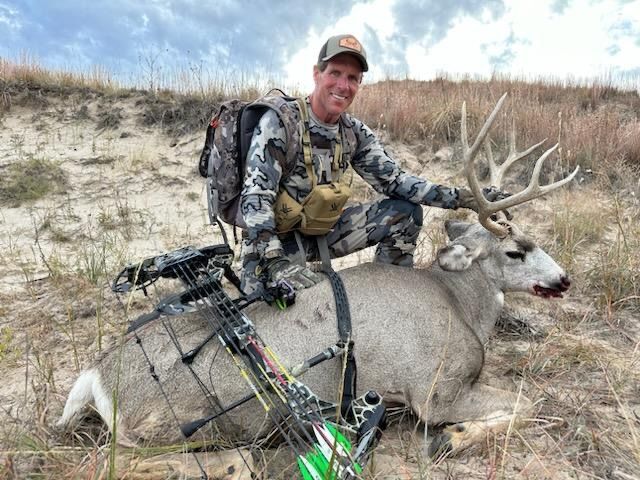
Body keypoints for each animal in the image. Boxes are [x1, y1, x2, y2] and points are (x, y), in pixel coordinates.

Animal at [56, 93, 578, 461]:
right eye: (515, 251)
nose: (564, 279)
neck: (458, 303)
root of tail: (94, 375)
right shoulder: (435, 387)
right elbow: (531, 403)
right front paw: (450, 440)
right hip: (185, 422)